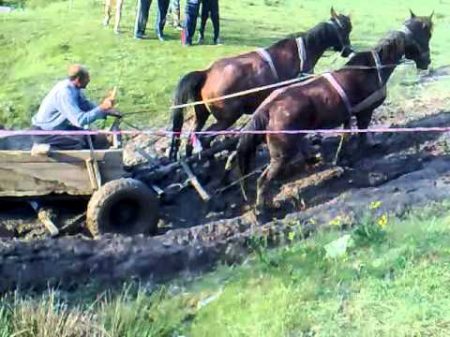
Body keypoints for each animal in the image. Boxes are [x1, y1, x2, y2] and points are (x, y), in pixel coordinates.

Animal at [167, 7, 354, 159]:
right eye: (346, 29)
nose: (349, 51)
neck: (301, 52)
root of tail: (207, 73)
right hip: (227, 118)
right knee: (205, 138)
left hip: (202, 114)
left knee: (192, 138)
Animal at [234, 10, 434, 207]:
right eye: (428, 34)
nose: (428, 61)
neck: (373, 68)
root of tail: (268, 107)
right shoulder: (365, 113)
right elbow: (361, 136)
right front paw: (364, 150)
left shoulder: (348, 115)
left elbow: (345, 138)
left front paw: (341, 158)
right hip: (281, 154)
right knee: (263, 180)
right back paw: (262, 209)